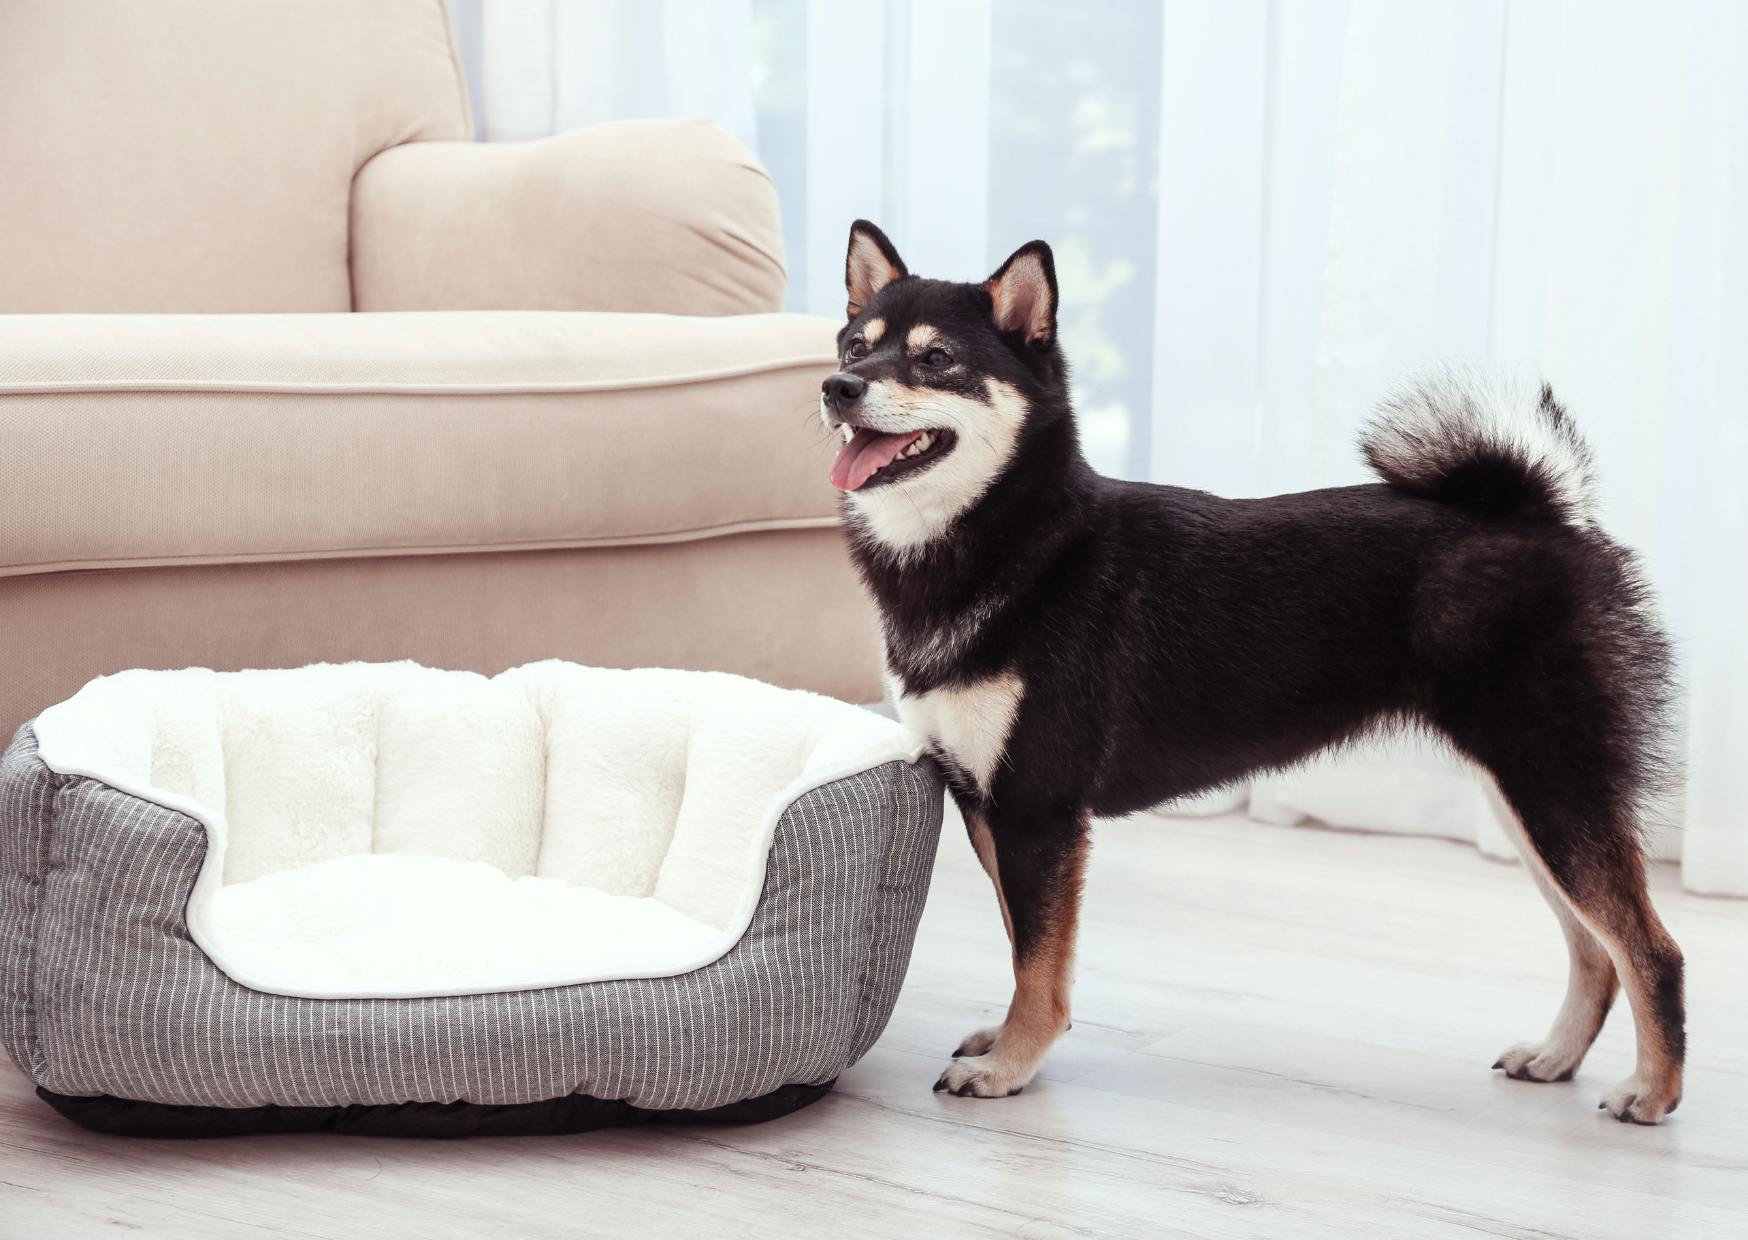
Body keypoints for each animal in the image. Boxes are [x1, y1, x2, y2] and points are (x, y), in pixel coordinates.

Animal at [825, 220, 1685, 1119]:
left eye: (936, 359)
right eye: (855, 344)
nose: (837, 386)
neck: (1015, 541)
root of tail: (1543, 515)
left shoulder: (1040, 807)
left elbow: (1037, 959)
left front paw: (1011, 1064)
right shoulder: (987, 803)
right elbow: (1021, 939)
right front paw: (1006, 1039)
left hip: (1553, 786)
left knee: (1651, 949)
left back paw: (1652, 1092)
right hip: (1527, 799)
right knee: (1595, 950)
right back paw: (1557, 1056)